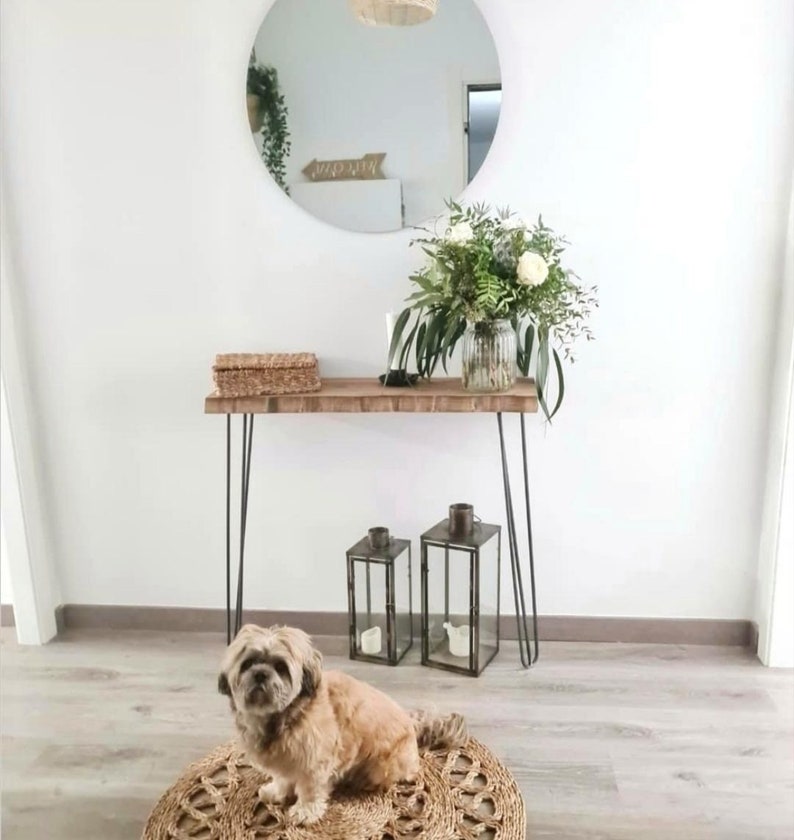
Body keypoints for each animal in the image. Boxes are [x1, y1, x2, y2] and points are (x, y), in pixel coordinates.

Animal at [217, 624, 464, 828]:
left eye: (280, 666)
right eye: (248, 663)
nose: (260, 674)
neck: (283, 716)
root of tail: (411, 722)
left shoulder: (315, 762)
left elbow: (309, 788)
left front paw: (305, 811)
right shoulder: (285, 760)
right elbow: (283, 778)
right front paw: (277, 792)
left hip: (382, 765)